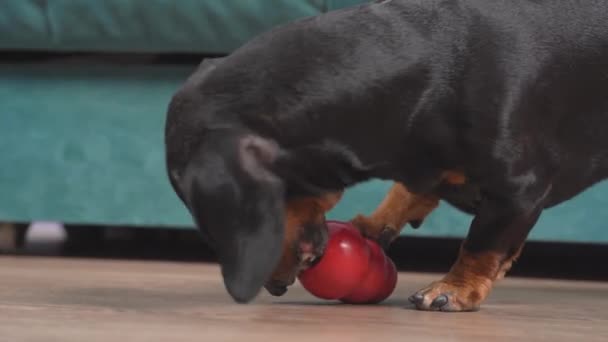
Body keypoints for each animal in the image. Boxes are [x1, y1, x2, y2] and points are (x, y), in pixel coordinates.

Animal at [165, 0, 608, 312]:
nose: (274, 287)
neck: (437, 59)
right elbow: (411, 190)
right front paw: (375, 224)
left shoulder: (519, 191)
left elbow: (482, 244)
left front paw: (454, 289)